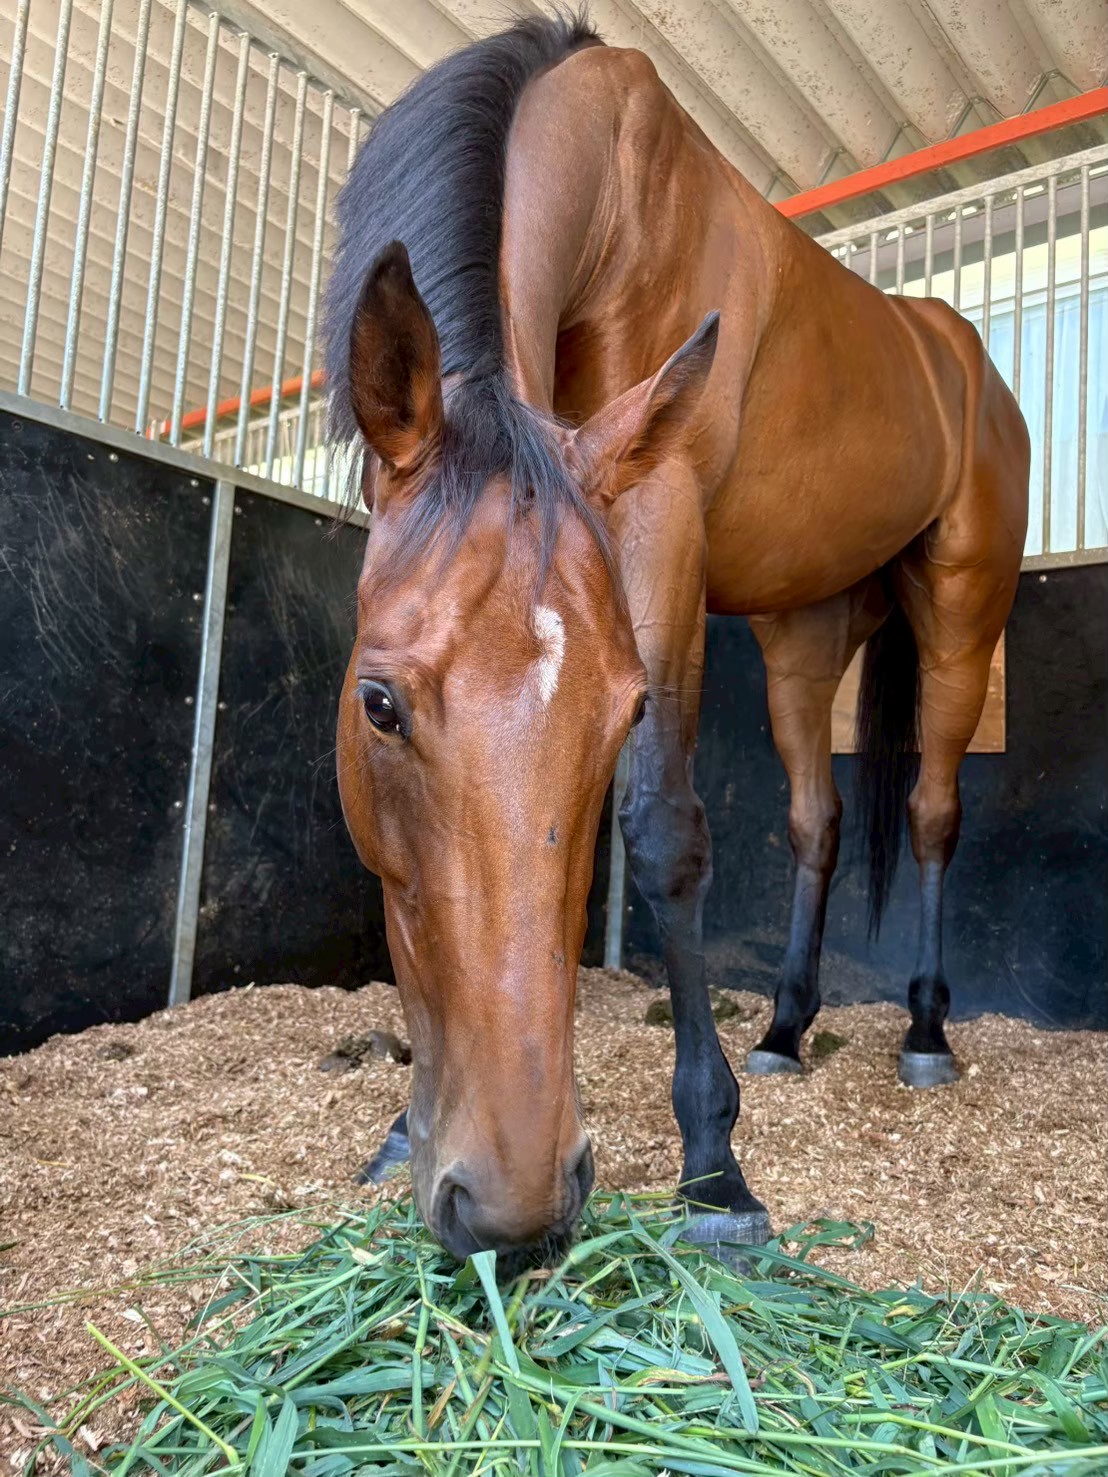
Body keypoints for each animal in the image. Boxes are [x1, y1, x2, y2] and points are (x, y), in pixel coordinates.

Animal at [326, 15, 1029, 1270]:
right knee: (817, 822)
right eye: (378, 703)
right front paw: (399, 1135)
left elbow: (664, 832)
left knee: (932, 812)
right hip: (803, 637)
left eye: (621, 711)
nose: (511, 1199)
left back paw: (925, 1027)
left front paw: (713, 1163)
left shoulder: (660, 519)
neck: (621, 203)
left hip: (963, 610)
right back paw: (788, 1027)